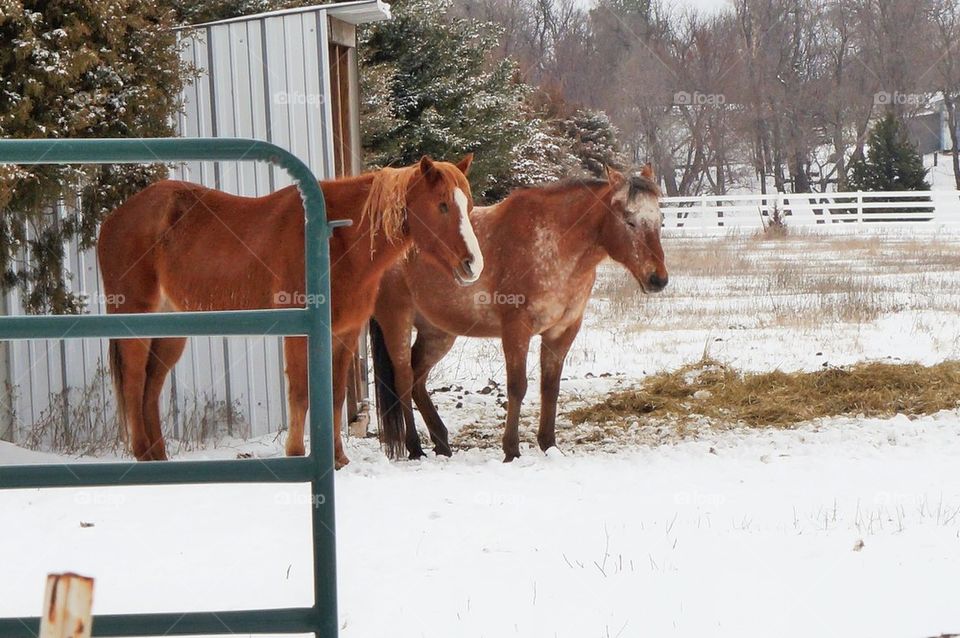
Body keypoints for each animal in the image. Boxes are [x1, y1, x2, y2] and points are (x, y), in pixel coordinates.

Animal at [99, 156, 480, 470]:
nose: (473, 265)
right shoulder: (299, 332)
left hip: (172, 328)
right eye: (442, 205)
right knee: (134, 381)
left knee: (151, 385)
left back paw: (158, 458)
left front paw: (338, 458)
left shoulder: (343, 334)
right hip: (135, 320)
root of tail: (114, 219)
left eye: (469, 204)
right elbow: (300, 392)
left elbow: (335, 395)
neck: (334, 239)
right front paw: (296, 452)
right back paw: (141, 454)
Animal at [370, 165, 668, 464]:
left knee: (418, 378)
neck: (553, 243)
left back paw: (442, 443)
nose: (658, 279)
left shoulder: (562, 331)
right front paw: (511, 450)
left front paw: (549, 445)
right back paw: (414, 447)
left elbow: (550, 387)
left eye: (660, 220)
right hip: (398, 321)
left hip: (438, 333)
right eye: (629, 221)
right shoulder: (516, 328)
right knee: (404, 378)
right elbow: (517, 386)